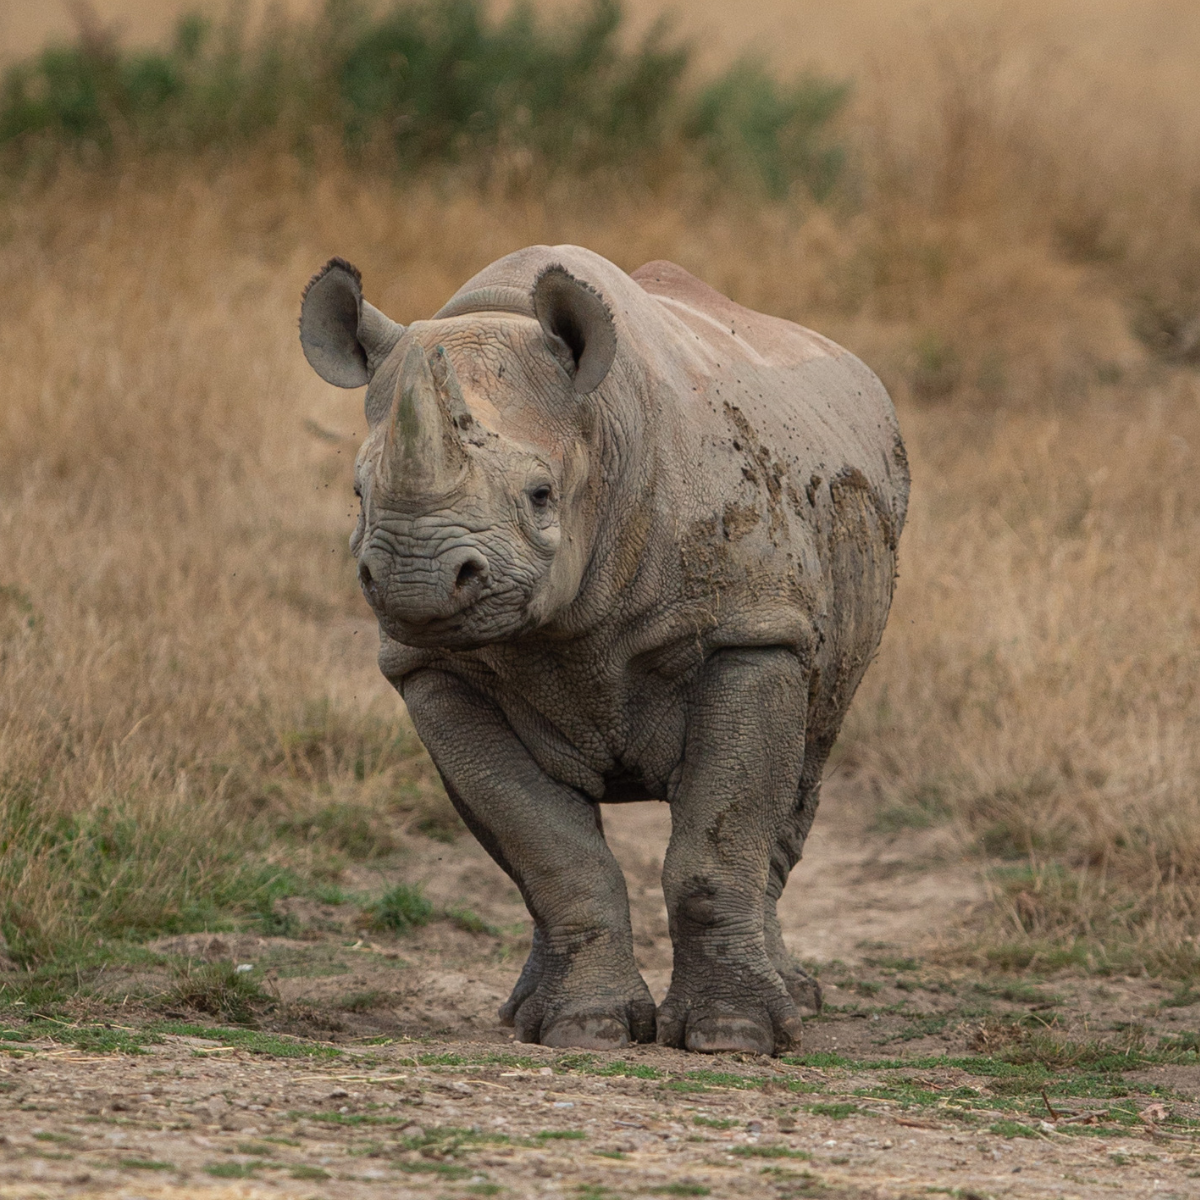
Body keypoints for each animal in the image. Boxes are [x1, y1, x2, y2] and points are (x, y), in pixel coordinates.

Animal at [299, 245, 909, 1055]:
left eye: (540, 494)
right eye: (359, 494)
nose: (416, 581)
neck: (599, 429)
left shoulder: (753, 630)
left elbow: (719, 841)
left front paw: (731, 1035)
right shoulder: (432, 667)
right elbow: (545, 846)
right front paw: (585, 1028)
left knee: (809, 756)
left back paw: (798, 1001)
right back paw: (522, 1012)